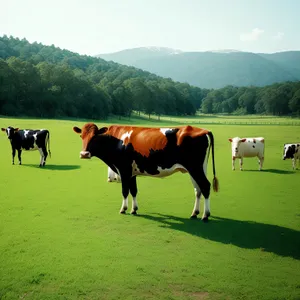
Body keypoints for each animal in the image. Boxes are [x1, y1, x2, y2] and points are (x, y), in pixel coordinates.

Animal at [72, 122, 218, 220]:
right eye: (81, 136)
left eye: (95, 137)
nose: (84, 154)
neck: (116, 140)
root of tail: (203, 130)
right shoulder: (132, 173)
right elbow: (134, 190)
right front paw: (134, 209)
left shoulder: (124, 170)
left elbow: (125, 191)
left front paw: (123, 209)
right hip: (198, 168)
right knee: (198, 189)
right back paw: (195, 213)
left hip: (195, 168)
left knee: (205, 186)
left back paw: (205, 215)